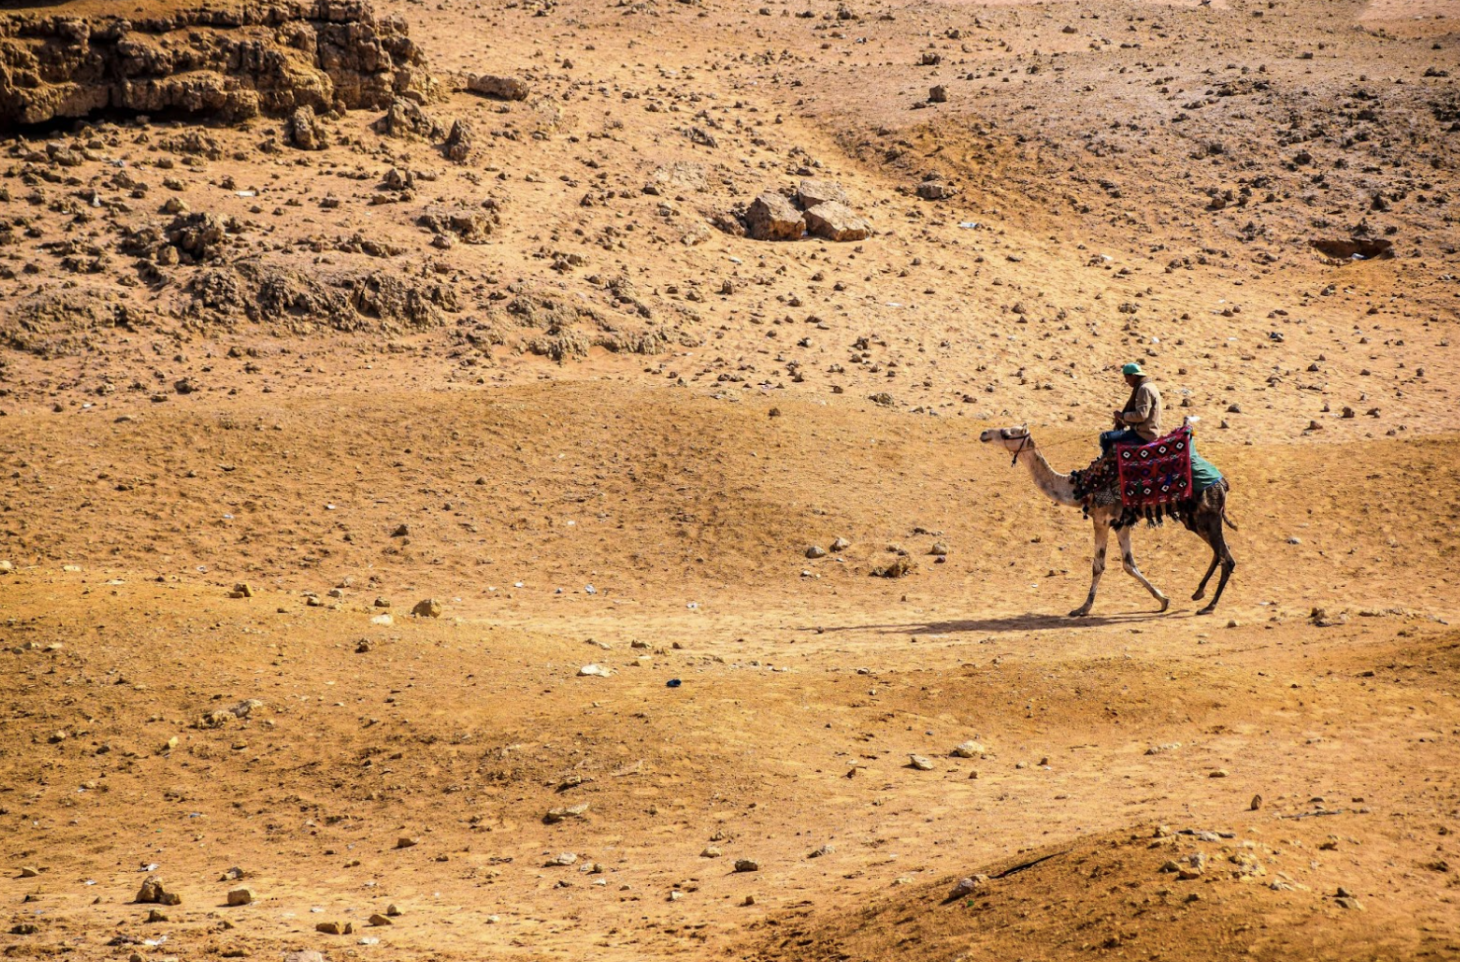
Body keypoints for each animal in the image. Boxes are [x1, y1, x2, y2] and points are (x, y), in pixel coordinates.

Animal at [975, 423, 1238, 616]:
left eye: (1008, 433)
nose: (984, 433)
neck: (1081, 487)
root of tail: (1223, 482)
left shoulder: (1101, 520)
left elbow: (1098, 565)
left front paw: (1082, 608)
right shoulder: (1121, 524)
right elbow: (1129, 564)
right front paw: (1163, 600)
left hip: (1206, 515)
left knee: (1227, 557)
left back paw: (1209, 606)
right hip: (1193, 518)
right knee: (1218, 552)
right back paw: (1198, 593)